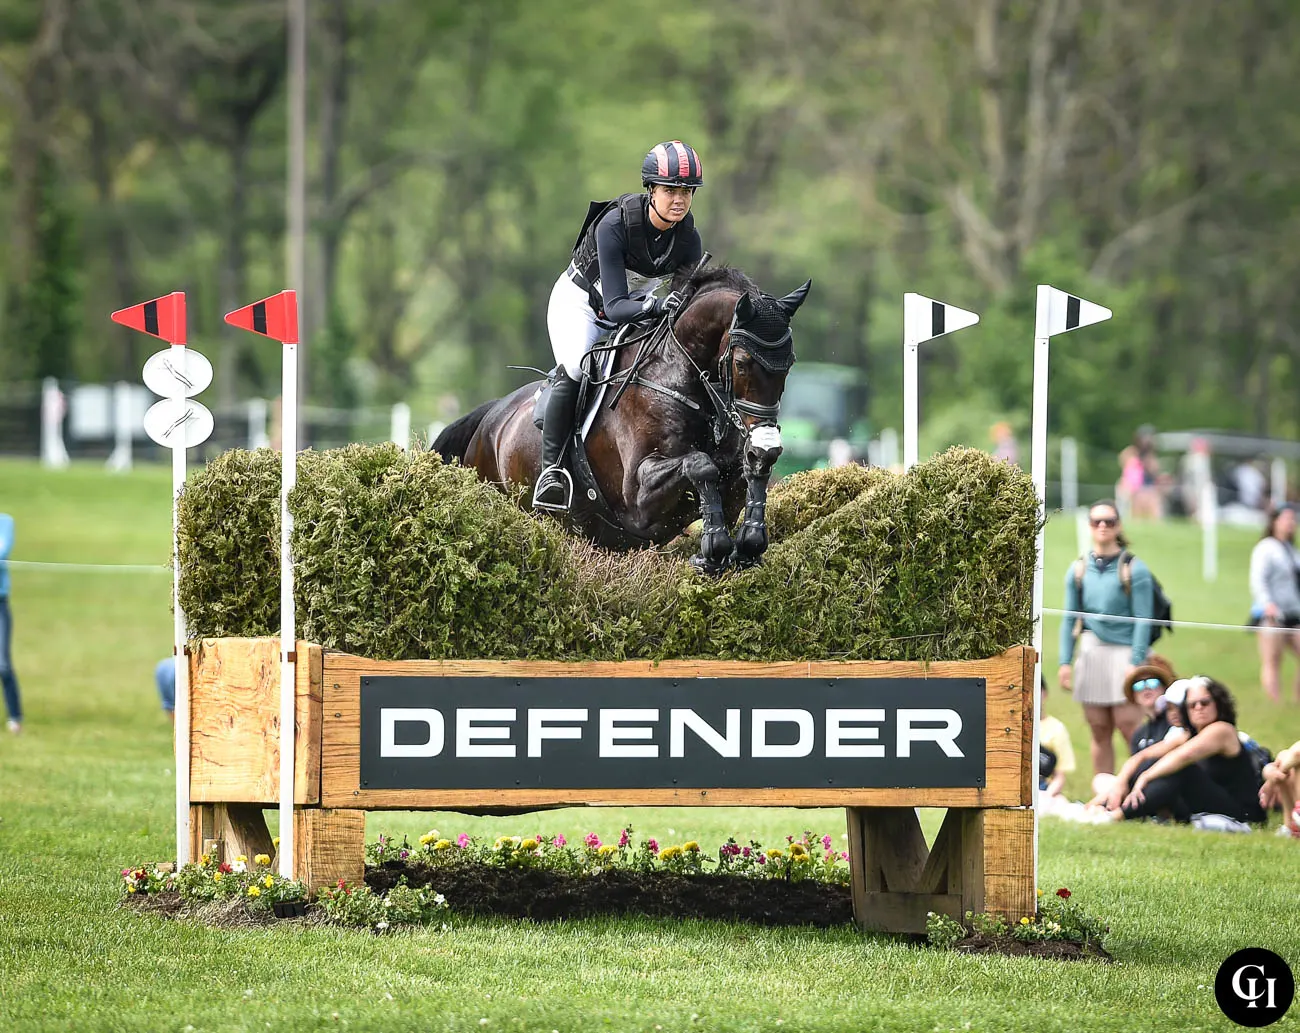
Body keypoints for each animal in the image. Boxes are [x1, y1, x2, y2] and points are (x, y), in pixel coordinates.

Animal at [432, 265, 812, 573]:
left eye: (790, 363)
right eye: (743, 363)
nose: (765, 445)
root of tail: (492, 415)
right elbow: (700, 464)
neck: (676, 376)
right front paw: (715, 546)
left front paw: (748, 542)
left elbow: (745, 474)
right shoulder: (639, 498)